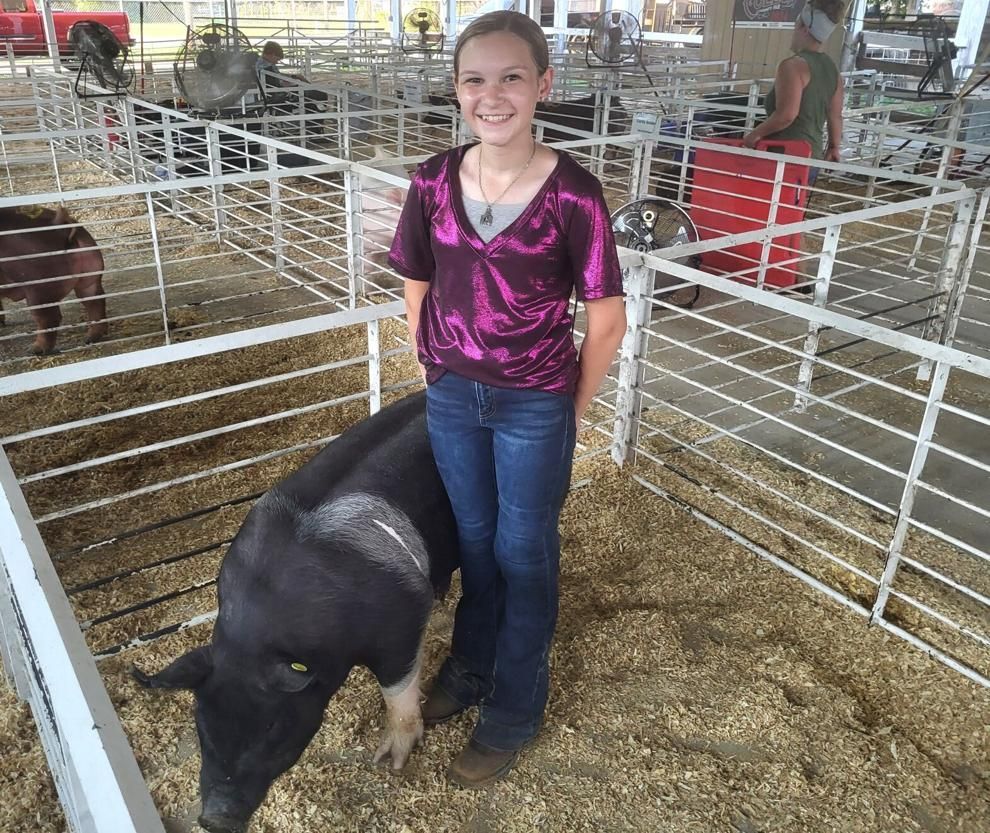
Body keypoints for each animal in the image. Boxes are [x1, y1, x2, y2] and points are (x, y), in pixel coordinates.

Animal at [0, 205, 107, 354]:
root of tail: (60, 226)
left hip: (39, 287)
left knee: (48, 318)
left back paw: (35, 350)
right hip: (90, 278)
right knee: (94, 301)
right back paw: (90, 338)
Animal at [134, 391, 459, 833]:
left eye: (272, 726)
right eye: (201, 720)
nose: (214, 818)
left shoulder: (402, 621)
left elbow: (398, 692)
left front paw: (390, 762)